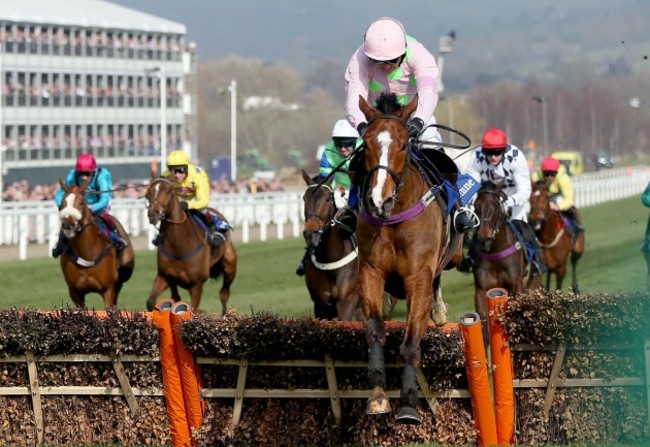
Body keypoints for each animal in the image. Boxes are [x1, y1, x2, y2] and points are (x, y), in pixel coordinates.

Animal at [56, 178, 134, 308]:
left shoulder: (108, 290)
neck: (87, 253)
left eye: (81, 203)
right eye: (62, 204)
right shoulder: (75, 293)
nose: (68, 225)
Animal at [143, 173, 237, 314]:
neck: (179, 247)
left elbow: (192, 309)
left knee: (224, 294)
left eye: (169, 191)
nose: (153, 214)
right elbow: (151, 302)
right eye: (148, 193)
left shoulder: (196, 285)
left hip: (230, 266)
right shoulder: (164, 276)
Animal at [354, 93, 460, 426]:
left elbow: (411, 342)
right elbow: (375, 329)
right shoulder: (370, 271)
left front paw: (410, 403)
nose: (379, 200)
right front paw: (377, 396)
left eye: (403, 145)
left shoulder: (419, 277)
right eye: (367, 144)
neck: (393, 219)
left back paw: (439, 310)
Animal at [468, 182, 540, 332]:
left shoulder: (515, 287)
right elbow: (483, 320)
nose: (483, 236)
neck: (496, 253)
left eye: (496, 205)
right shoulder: (481, 290)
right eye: (476, 205)